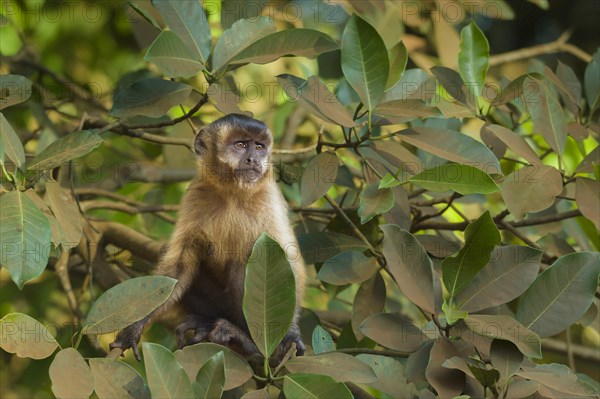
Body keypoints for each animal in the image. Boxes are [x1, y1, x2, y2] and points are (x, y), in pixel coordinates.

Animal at [109, 113, 304, 362]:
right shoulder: (195, 193)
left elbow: (284, 261)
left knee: (246, 259)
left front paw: (291, 336)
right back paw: (207, 323)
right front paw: (135, 326)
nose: (253, 159)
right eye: (241, 145)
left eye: (259, 147)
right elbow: (178, 269)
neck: (232, 193)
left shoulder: (269, 197)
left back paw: (248, 343)